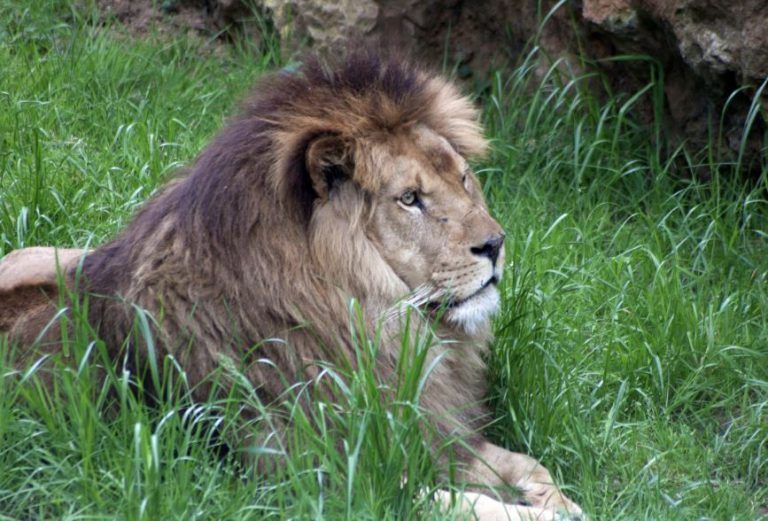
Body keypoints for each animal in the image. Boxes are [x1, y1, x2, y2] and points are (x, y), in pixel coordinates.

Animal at [0, 52, 582, 520]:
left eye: (462, 178)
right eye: (410, 199)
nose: (495, 244)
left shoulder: (434, 434)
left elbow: (529, 466)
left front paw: (561, 499)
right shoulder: (329, 480)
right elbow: (463, 504)